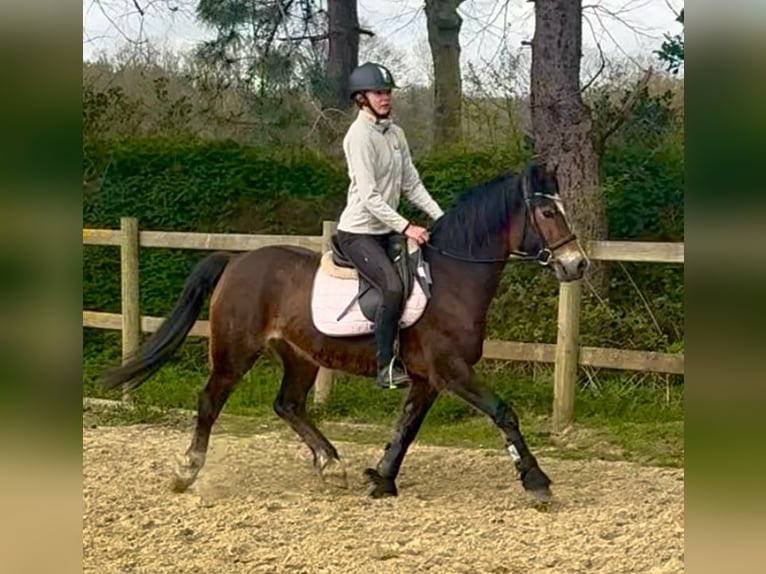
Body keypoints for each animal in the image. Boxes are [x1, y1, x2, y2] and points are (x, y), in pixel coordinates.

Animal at [102, 162, 589, 501]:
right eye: (548, 211)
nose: (577, 264)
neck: (452, 276)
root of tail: (236, 262)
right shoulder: (450, 370)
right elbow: (503, 413)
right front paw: (536, 481)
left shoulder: (427, 378)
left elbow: (406, 427)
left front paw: (382, 479)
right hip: (234, 353)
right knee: (209, 401)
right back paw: (187, 471)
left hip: (300, 356)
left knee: (288, 404)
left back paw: (331, 465)